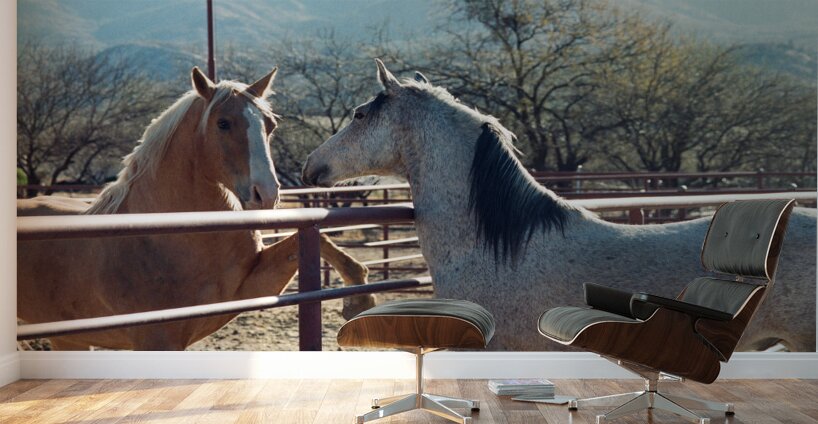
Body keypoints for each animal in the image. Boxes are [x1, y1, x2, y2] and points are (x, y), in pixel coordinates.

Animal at [18, 67, 373, 350]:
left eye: (270, 125)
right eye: (223, 123)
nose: (267, 194)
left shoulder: (250, 286)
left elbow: (314, 240)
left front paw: (360, 297)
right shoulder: (158, 341)